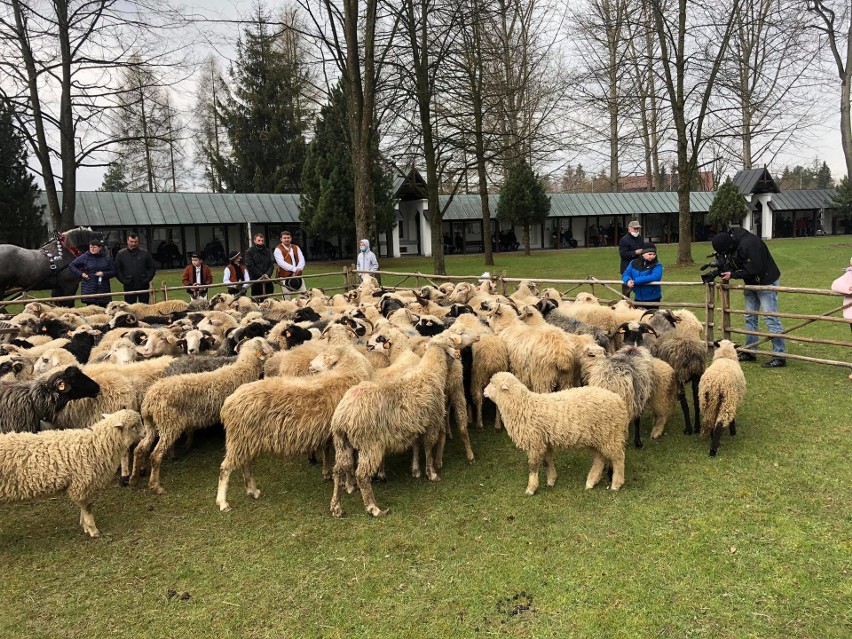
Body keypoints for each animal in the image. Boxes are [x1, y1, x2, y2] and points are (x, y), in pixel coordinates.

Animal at [0, 408, 142, 536]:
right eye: (134, 426)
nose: (145, 434)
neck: (97, 445)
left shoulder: (82, 485)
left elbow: (84, 507)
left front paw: (84, 525)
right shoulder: (82, 483)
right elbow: (87, 507)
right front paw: (92, 529)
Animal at [131, 336, 274, 496]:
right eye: (266, 344)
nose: (274, 351)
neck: (243, 369)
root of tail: (149, 400)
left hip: (151, 424)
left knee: (139, 449)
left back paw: (134, 479)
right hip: (169, 424)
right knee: (155, 455)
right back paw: (156, 486)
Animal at [215, 342, 374, 512]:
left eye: (325, 356)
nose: (310, 365)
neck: (347, 371)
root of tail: (229, 401)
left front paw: (345, 482)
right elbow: (349, 463)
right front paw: (350, 485)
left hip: (247, 439)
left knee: (246, 464)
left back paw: (253, 490)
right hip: (239, 438)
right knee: (225, 468)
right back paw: (223, 502)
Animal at [328, 336, 460, 520]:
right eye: (450, 343)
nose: (458, 356)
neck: (431, 372)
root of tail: (343, 416)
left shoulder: (416, 425)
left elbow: (416, 446)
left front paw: (415, 470)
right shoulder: (432, 424)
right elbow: (428, 449)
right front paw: (432, 473)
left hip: (342, 442)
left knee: (338, 470)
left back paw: (336, 507)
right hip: (370, 444)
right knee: (361, 475)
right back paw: (373, 507)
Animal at [482, 372, 628, 492]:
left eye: (493, 385)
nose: (483, 391)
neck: (523, 406)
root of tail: (619, 401)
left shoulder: (535, 443)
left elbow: (533, 466)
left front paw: (531, 488)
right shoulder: (544, 442)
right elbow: (547, 462)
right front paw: (551, 480)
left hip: (611, 435)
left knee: (618, 458)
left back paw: (616, 484)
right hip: (597, 438)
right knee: (599, 459)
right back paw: (591, 482)